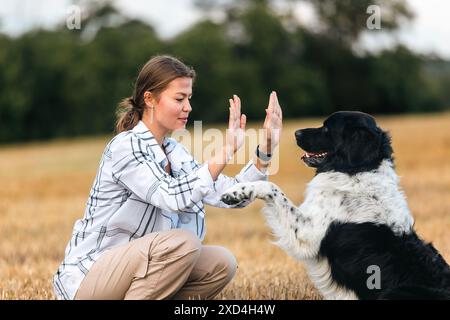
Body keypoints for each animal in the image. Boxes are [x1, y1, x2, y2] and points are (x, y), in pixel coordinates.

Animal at [221, 111, 450, 298]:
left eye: (327, 128)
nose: (296, 132)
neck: (356, 170)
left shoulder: (307, 234)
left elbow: (272, 188)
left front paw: (236, 192)